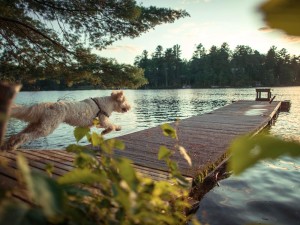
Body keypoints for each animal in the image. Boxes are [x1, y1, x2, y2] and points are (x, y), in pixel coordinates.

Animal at [2, 90, 131, 150]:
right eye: (125, 101)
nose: (130, 107)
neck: (108, 103)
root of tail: (49, 105)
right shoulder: (103, 119)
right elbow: (111, 125)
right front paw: (116, 128)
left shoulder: (94, 123)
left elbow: (107, 127)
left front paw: (105, 132)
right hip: (46, 128)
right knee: (25, 136)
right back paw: (13, 146)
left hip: (37, 124)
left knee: (19, 134)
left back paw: (9, 144)